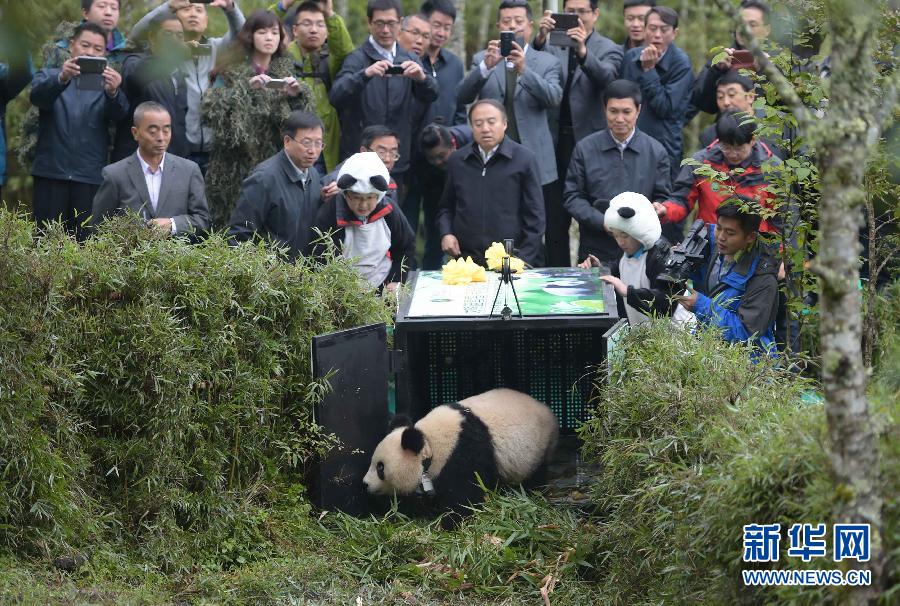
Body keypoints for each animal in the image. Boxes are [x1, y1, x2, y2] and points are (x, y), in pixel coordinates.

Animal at [362, 390, 560, 528]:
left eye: (380, 468)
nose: (365, 484)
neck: (429, 443)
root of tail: (548, 410)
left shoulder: (464, 452)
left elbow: (465, 495)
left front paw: (448, 523)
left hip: (537, 449)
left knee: (534, 476)